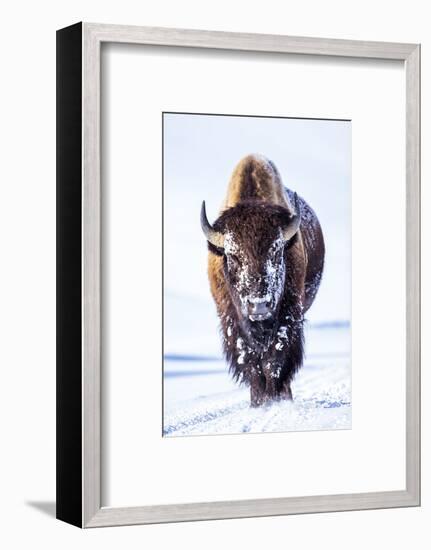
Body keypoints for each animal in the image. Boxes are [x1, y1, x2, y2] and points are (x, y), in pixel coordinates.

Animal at [201, 153, 326, 408]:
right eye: (233, 256)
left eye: (277, 252)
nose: (259, 306)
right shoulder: (232, 321)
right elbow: (250, 362)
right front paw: (259, 402)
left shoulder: (288, 315)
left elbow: (275, 359)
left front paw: (275, 399)